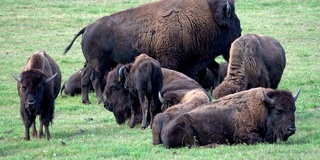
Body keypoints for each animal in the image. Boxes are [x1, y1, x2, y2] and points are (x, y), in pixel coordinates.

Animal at [63, 0, 241, 105]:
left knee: (86, 78)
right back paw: (100, 100)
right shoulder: (172, 61)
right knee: (96, 80)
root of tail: (87, 28)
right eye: (233, 21)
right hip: (99, 64)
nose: (240, 32)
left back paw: (86, 101)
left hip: (93, 64)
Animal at [159, 87, 302, 148]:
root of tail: (164, 131)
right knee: (195, 146)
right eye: (278, 111)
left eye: (293, 109)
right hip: (189, 131)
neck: (263, 109)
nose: (291, 129)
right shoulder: (244, 135)